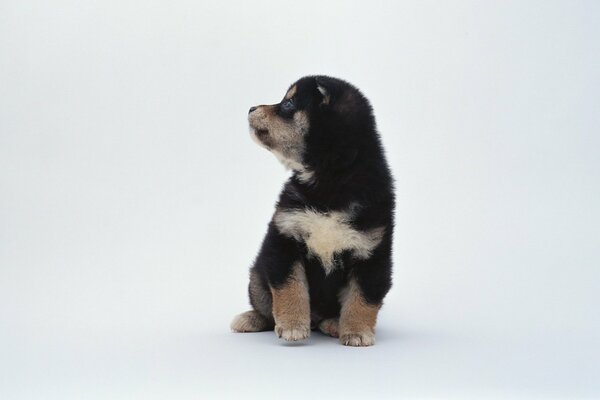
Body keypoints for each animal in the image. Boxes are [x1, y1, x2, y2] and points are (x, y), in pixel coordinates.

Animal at [230, 76, 394, 346]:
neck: (329, 179)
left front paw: (357, 332)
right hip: (257, 275)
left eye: (288, 104)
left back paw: (333, 324)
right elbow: (290, 288)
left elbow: (362, 298)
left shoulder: (371, 252)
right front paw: (293, 326)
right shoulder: (285, 238)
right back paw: (250, 319)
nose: (252, 108)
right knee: (264, 307)